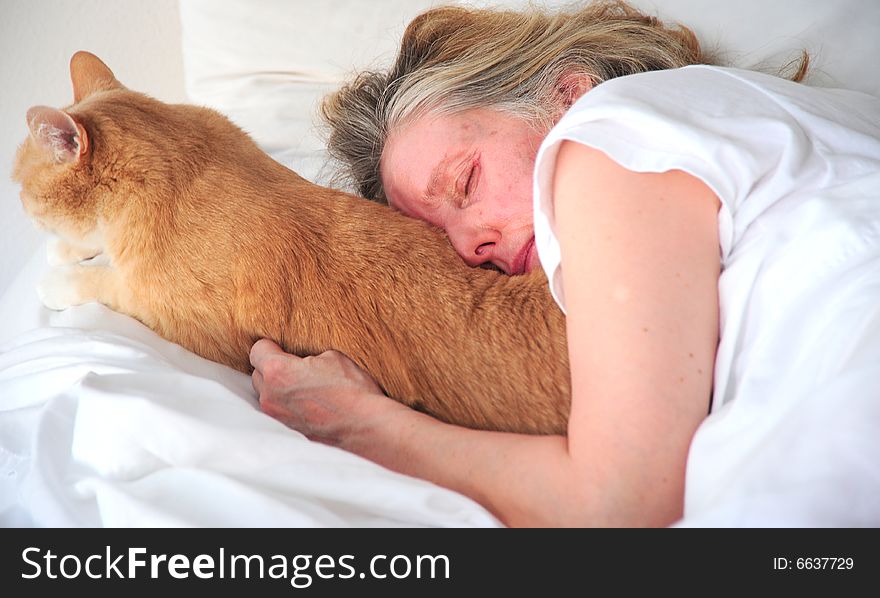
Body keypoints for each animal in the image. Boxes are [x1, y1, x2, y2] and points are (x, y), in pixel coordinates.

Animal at [13, 51, 572, 436]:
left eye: (18, 184)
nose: (15, 199)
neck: (182, 162)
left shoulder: (173, 312)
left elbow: (103, 280)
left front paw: (59, 275)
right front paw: (69, 249)